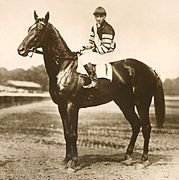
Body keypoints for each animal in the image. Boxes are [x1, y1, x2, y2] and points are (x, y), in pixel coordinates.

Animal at [17, 11, 165, 169]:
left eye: (38, 30)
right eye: (29, 29)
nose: (20, 49)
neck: (64, 67)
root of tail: (150, 69)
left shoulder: (72, 106)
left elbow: (73, 133)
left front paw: (73, 162)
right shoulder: (61, 106)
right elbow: (66, 132)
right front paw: (66, 160)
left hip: (142, 102)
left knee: (146, 127)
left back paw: (143, 160)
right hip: (124, 102)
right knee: (136, 124)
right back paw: (127, 156)